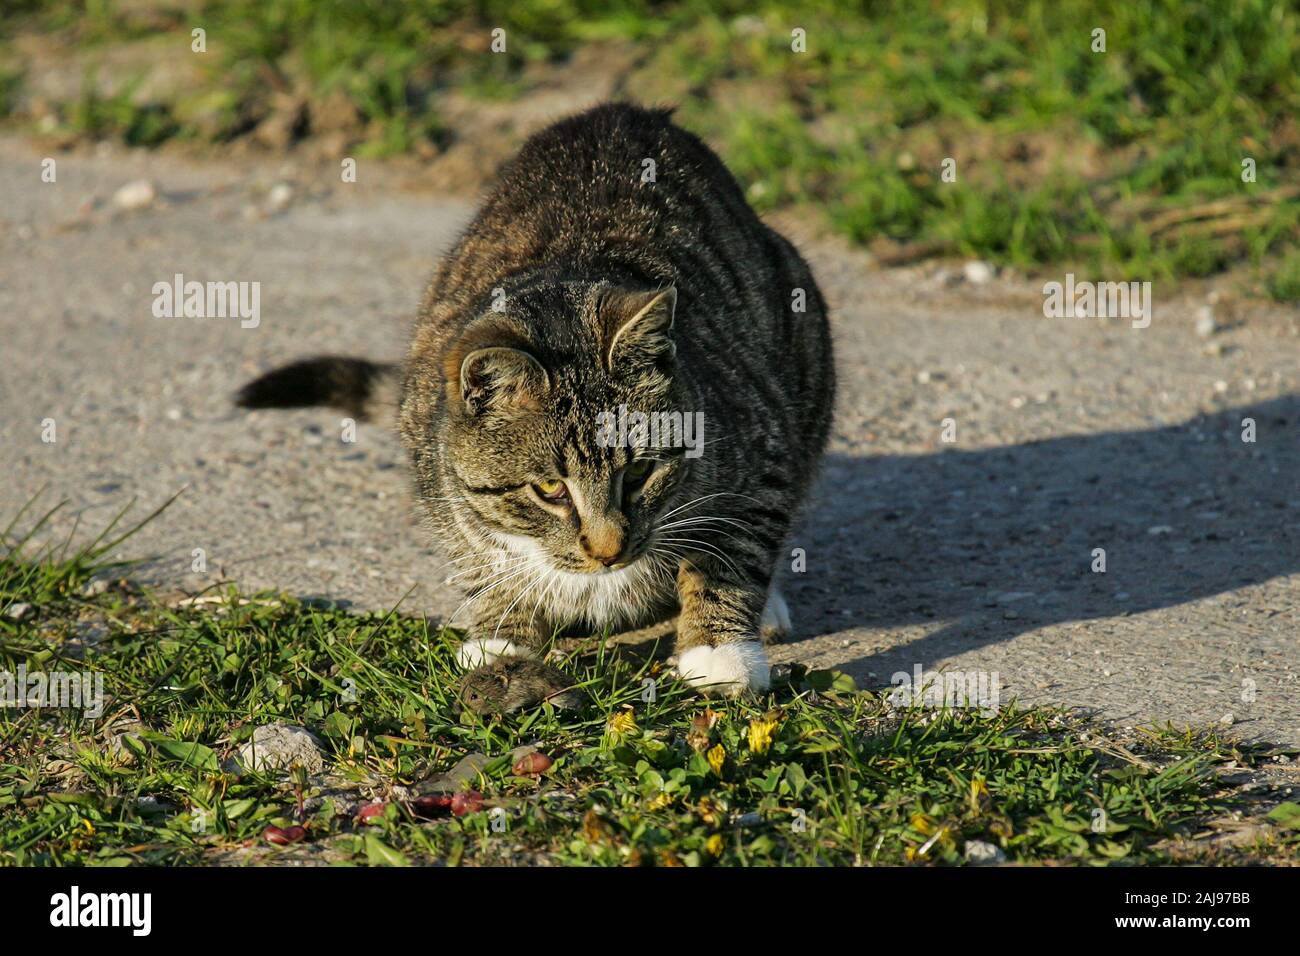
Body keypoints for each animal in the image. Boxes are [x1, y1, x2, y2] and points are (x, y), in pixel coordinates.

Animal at [239, 102, 837, 712]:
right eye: (550, 489)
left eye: (640, 473)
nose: (608, 551)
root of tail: (623, 111)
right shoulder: (438, 476)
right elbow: (479, 555)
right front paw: (502, 639)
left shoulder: (763, 450)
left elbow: (730, 553)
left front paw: (719, 652)